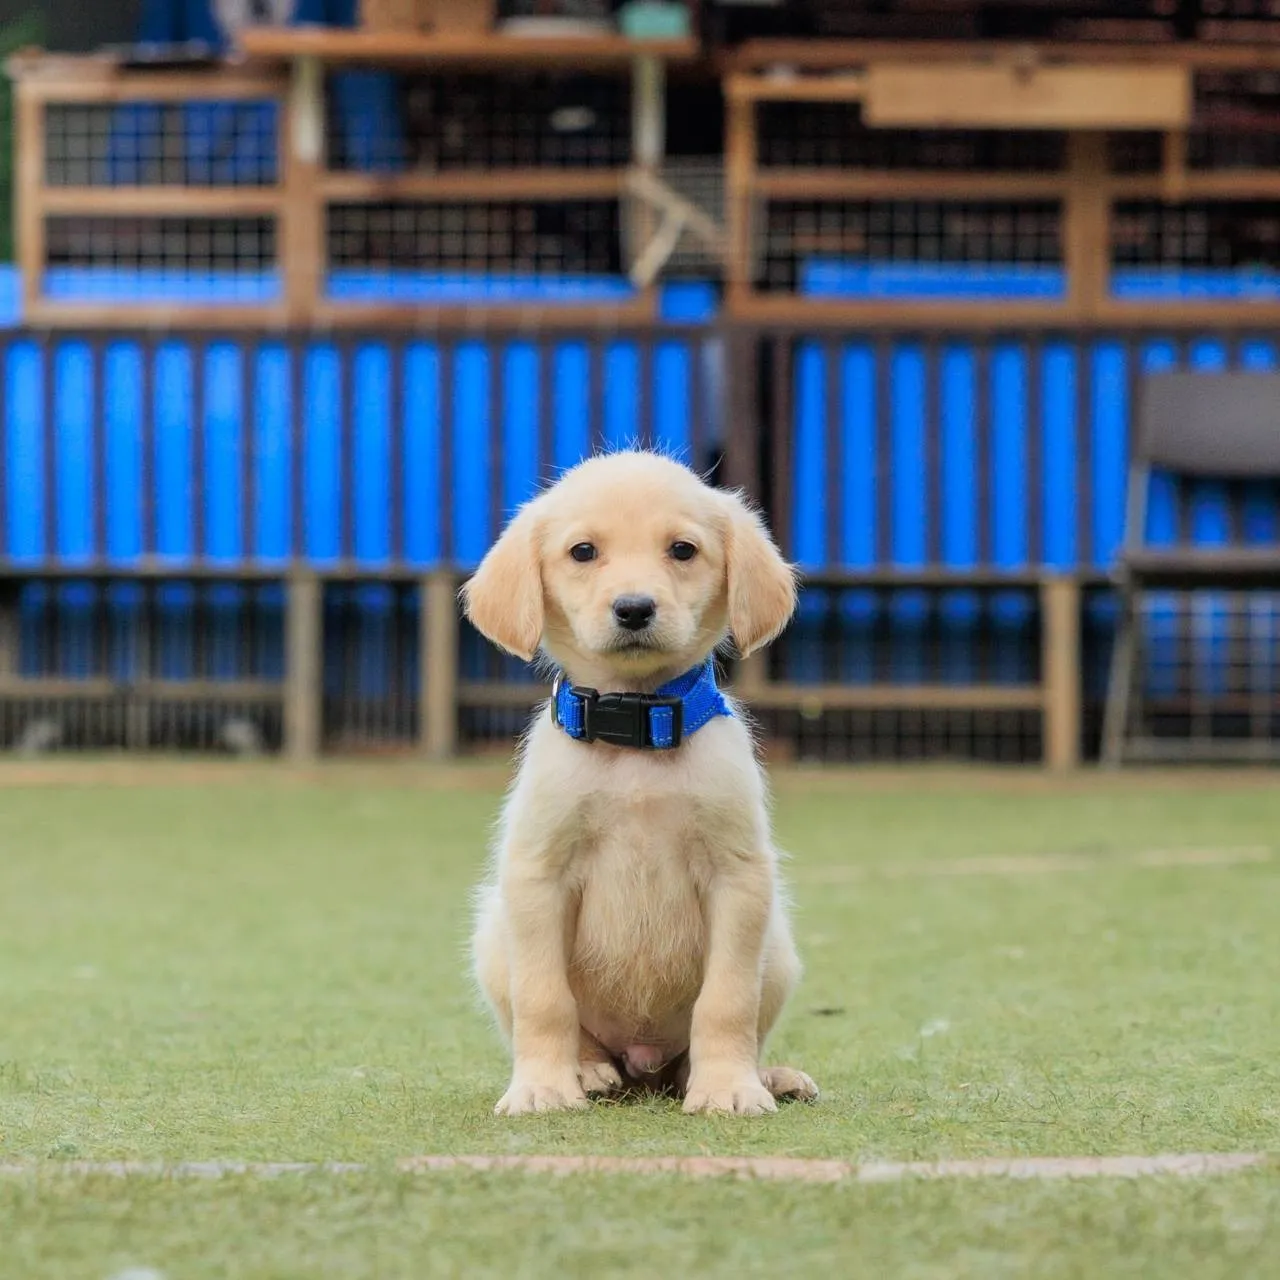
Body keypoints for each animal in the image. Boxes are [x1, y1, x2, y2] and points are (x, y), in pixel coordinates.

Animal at [465, 455, 814, 1116]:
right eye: (583, 551)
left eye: (682, 550)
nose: (633, 608)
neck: (636, 736)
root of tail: (642, 1068)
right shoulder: (538, 874)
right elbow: (544, 1000)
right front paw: (542, 1086)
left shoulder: (739, 876)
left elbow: (727, 1000)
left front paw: (728, 1087)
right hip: (495, 935)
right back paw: (588, 1070)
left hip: (778, 948)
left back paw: (761, 1075)